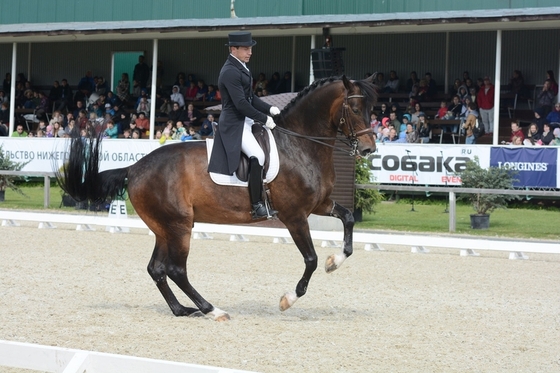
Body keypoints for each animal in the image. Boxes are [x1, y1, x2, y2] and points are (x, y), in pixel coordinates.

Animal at [55, 75, 376, 320]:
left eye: (372, 108)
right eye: (354, 108)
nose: (369, 149)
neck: (299, 144)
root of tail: (135, 167)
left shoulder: (319, 204)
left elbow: (348, 219)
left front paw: (335, 261)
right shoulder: (294, 216)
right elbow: (310, 259)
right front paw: (288, 299)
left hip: (164, 227)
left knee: (157, 269)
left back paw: (182, 310)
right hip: (180, 225)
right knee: (176, 269)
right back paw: (212, 309)